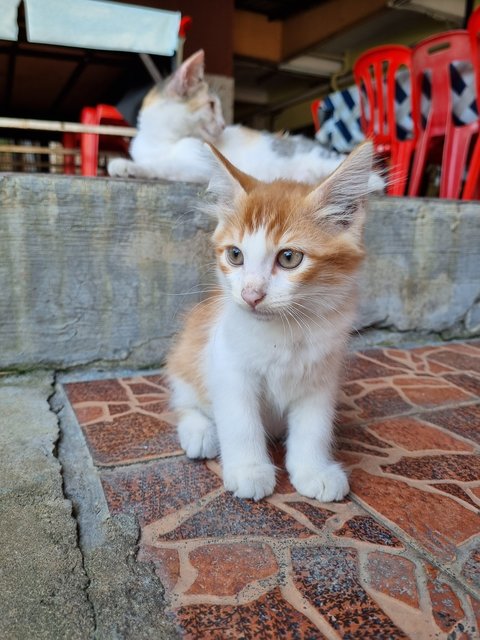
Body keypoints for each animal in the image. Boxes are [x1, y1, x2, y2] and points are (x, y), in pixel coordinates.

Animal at [167, 142, 374, 502]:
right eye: (235, 255)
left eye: (289, 258)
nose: (251, 294)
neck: (285, 331)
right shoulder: (228, 367)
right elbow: (240, 423)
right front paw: (249, 470)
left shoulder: (322, 377)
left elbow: (314, 428)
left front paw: (313, 470)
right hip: (189, 356)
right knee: (185, 400)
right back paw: (200, 432)